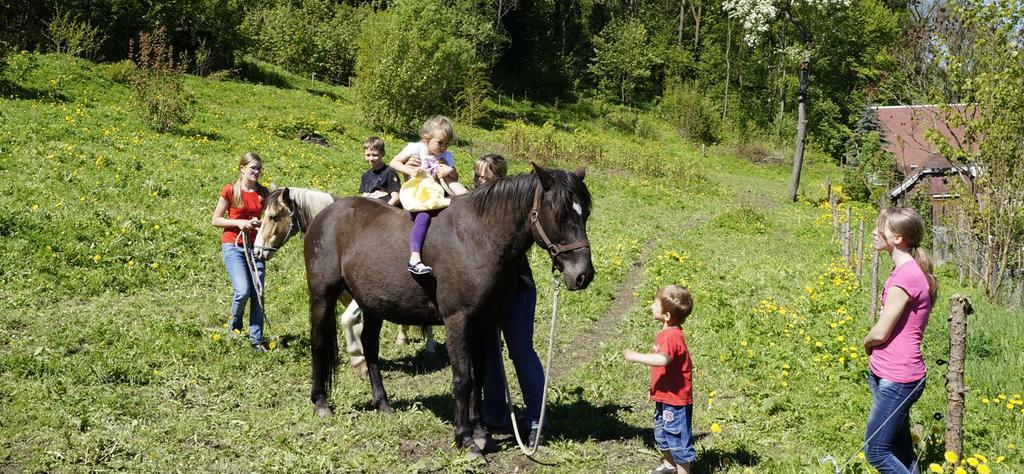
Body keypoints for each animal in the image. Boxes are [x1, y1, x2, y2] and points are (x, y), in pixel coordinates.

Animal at [301, 163, 593, 456]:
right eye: (559, 214)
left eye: (586, 213)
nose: (583, 275)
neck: (478, 239)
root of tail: (327, 213)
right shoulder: (458, 321)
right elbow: (463, 378)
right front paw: (466, 439)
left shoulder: (485, 323)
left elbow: (479, 377)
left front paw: (481, 434)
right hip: (322, 296)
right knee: (319, 343)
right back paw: (321, 402)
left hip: (372, 304)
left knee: (370, 346)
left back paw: (383, 404)